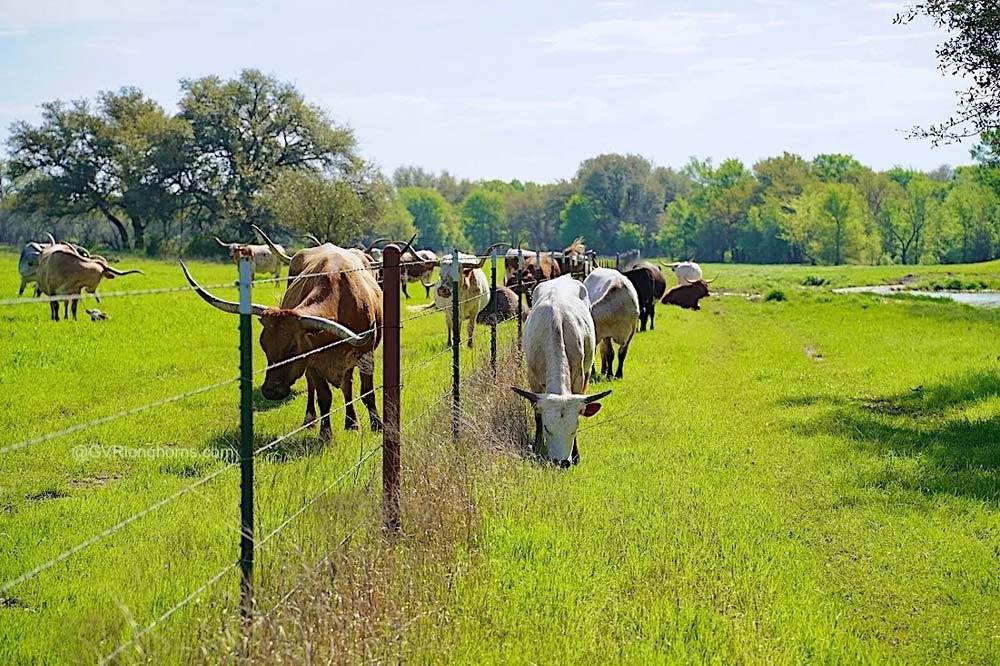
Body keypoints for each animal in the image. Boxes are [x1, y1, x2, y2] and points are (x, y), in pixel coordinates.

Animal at [180, 246, 382, 438]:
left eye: (292, 348)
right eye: (264, 346)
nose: (271, 391)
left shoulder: (366, 356)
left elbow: (367, 393)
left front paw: (377, 426)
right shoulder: (311, 361)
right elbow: (324, 396)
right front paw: (325, 434)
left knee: (347, 387)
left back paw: (351, 424)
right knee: (315, 388)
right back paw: (310, 420)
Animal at [512, 274, 612, 466]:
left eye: (575, 428)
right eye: (547, 428)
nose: (562, 462)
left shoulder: (579, 378)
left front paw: (576, 454)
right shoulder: (533, 379)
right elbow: (536, 414)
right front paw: (537, 447)